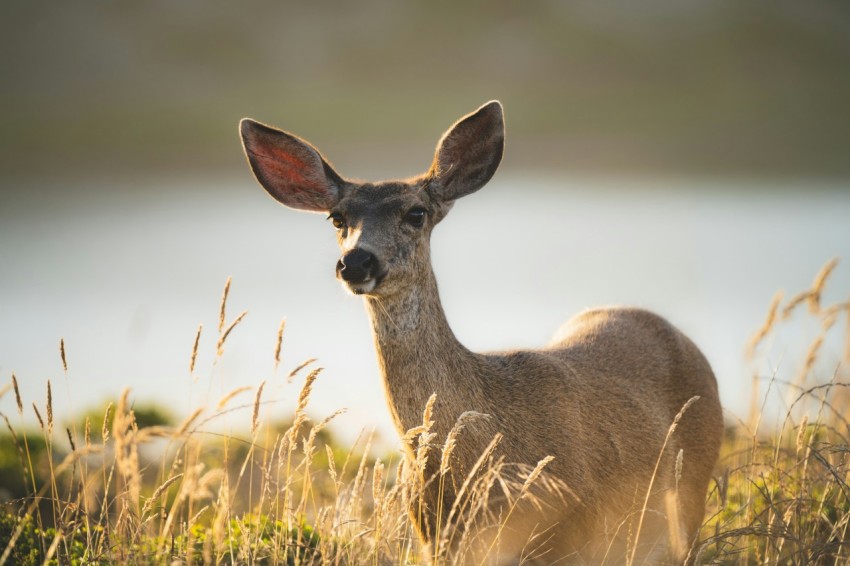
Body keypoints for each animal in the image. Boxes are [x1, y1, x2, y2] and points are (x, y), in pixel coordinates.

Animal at [239, 101, 723, 565]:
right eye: (338, 218)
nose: (356, 261)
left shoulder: (569, 533)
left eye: (416, 213)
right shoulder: (435, 537)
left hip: (689, 500)